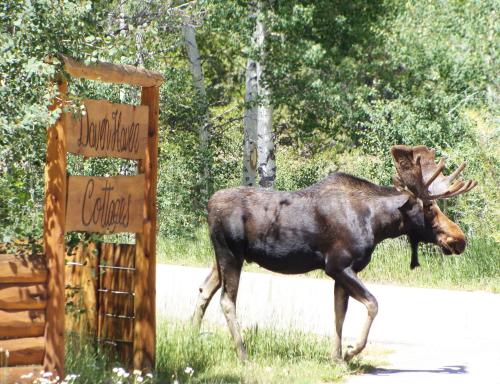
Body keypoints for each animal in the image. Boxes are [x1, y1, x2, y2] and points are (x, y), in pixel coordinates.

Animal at [191, 146, 476, 362]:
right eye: (429, 208)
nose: (459, 239)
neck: (378, 224)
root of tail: (208, 206)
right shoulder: (338, 265)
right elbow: (373, 304)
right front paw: (351, 351)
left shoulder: (342, 272)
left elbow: (340, 313)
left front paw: (337, 357)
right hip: (230, 254)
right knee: (227, 301)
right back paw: (242, 354)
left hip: (221, 257)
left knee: (205, 289)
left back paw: (191, 335)